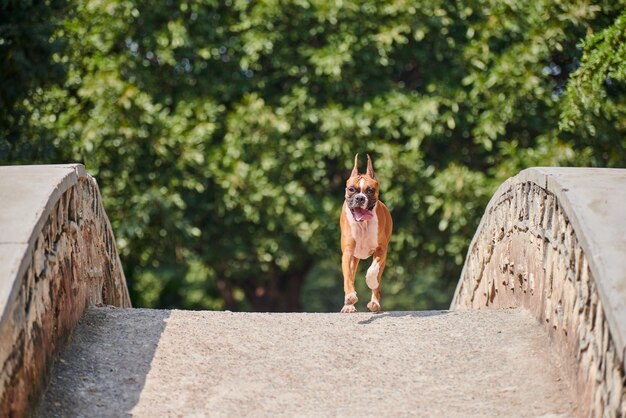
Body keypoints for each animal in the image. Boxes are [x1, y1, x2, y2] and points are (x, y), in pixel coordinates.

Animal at [342, 155, 390, 312]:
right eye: (351, 189)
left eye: (370, 190)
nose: (360, 198)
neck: (363, 224)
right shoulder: (348, 253)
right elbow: (348, 277)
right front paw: (350, 297)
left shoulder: (381, 250)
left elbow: (372, 271)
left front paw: (371, 282)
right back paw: (348, 306)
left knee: (377, 276)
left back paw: (375, 302)